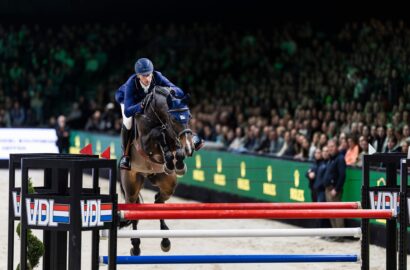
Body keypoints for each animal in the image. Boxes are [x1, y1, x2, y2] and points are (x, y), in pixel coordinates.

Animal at [119, 86, 195, 255]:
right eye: (174, 119)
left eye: (189, 116)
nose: (189, 147)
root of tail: (147, 174)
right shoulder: (145, 143)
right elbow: (159, 134)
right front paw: (169, 156)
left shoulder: (173, 138)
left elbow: (174, 147)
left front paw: (178, 164)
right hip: (131, 184)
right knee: (133, 208)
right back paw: (135, 245)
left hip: (166, 183)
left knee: (158, 200)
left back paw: (165, 240)